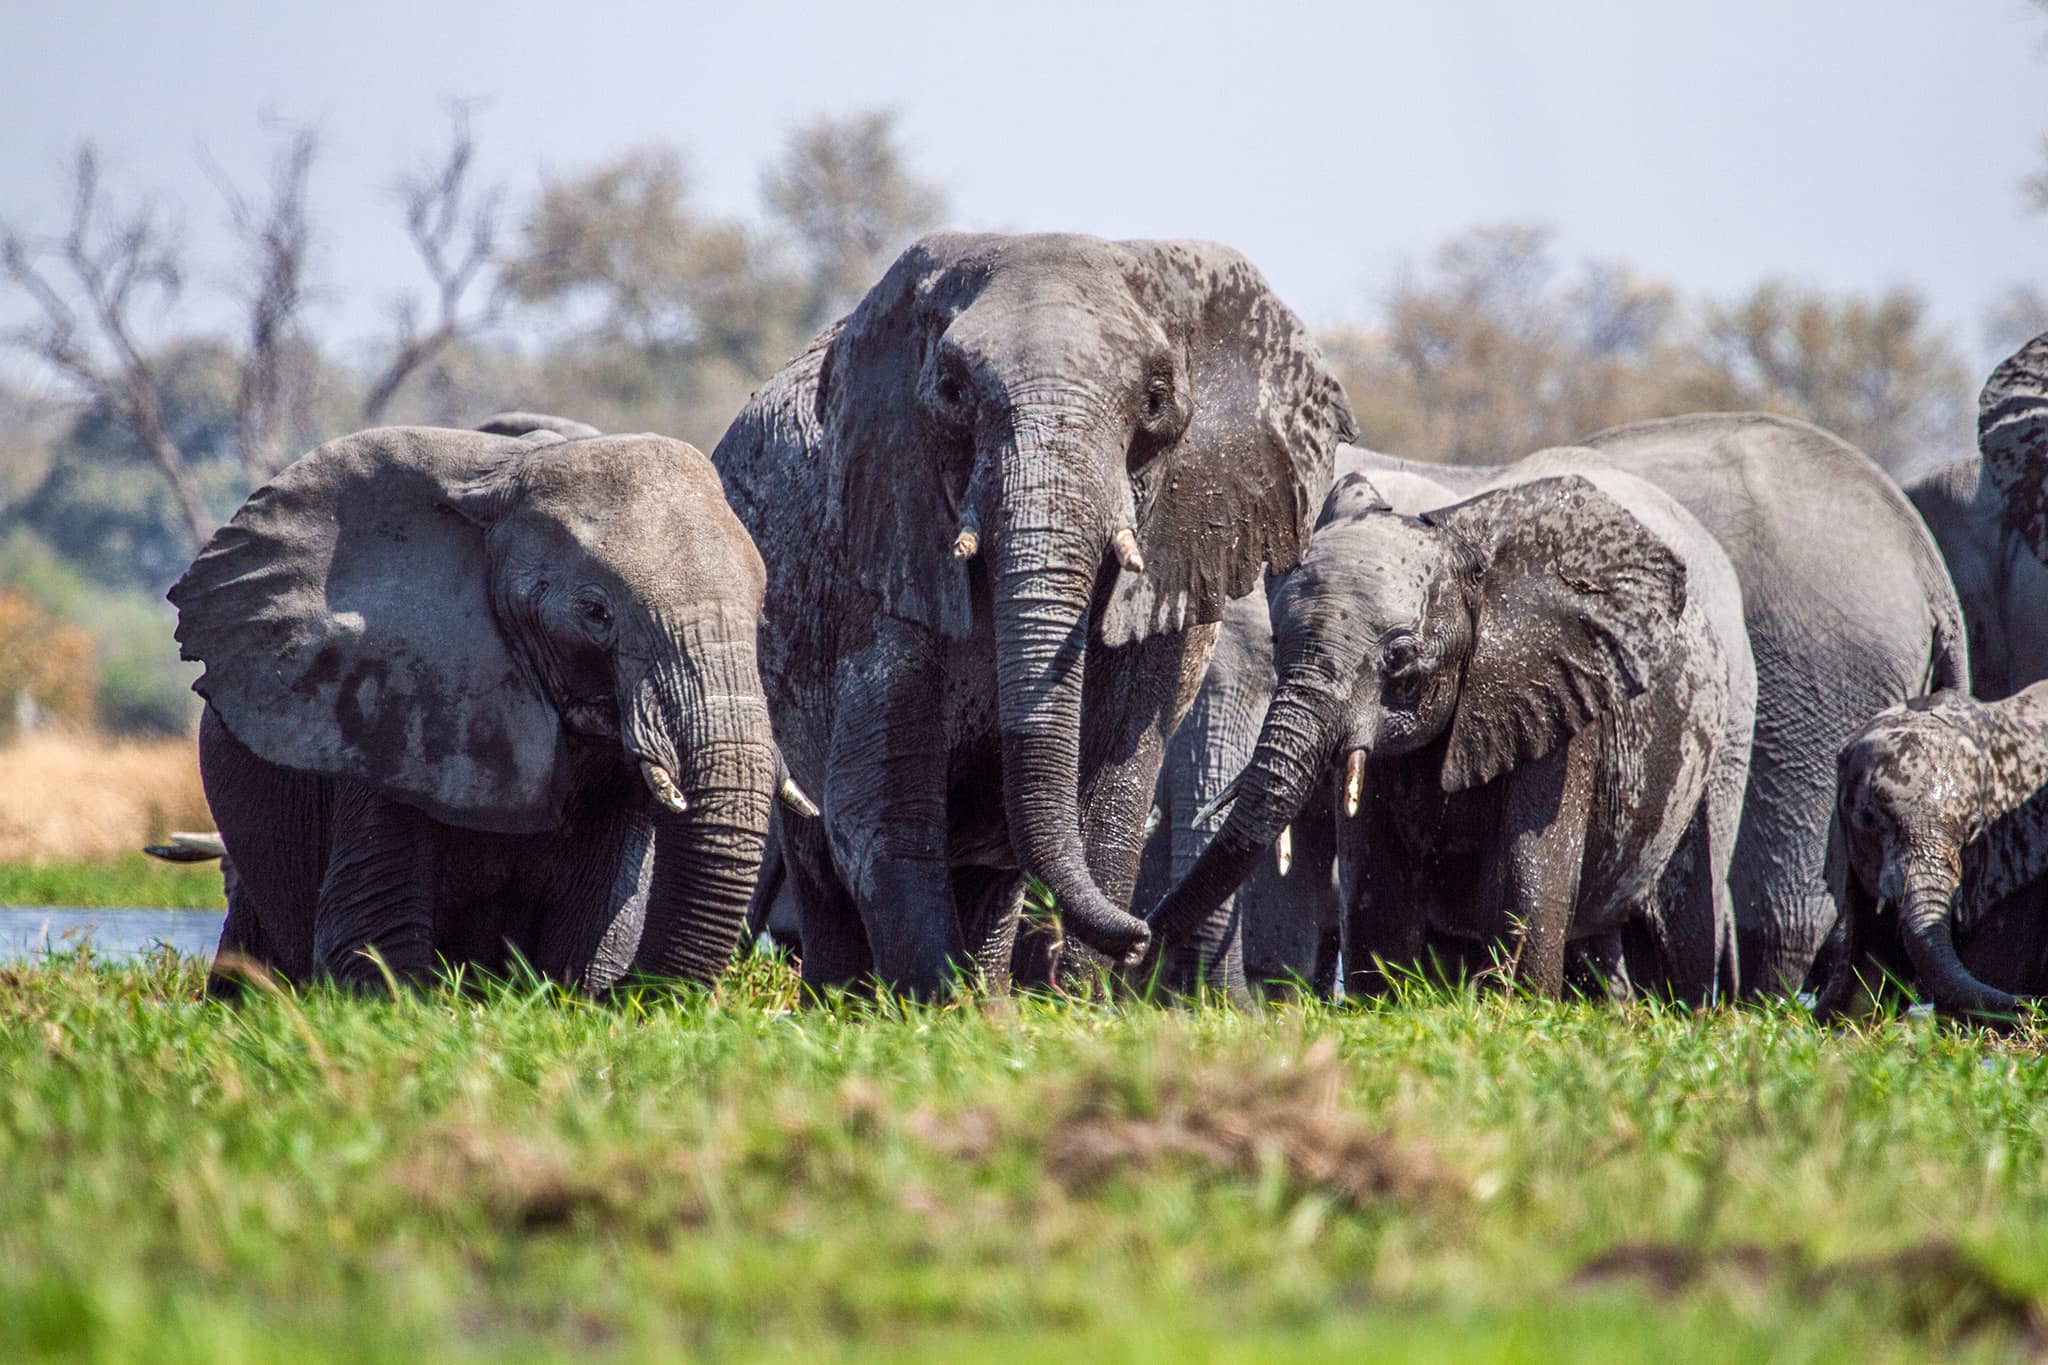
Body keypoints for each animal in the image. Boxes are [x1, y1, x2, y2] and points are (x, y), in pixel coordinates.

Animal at [720, 235, 1359, 998]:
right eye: (951, 392)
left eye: (1155, 400)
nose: (1141, 938)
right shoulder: (880, 545)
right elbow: (879, 808)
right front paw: (942, 1008)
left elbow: (1112, 797)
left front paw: (1069, 1005)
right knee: (824, 856)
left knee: (990, 877)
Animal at [1155, 458, 1761, 1002]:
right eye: (1279, 642)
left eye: (1399, 658)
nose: (1139, 941)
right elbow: (1378, 890)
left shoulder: (1560, 700)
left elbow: (1529, 881)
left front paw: (1524, 1011)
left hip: (1709, 761)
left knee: (1681, 944)